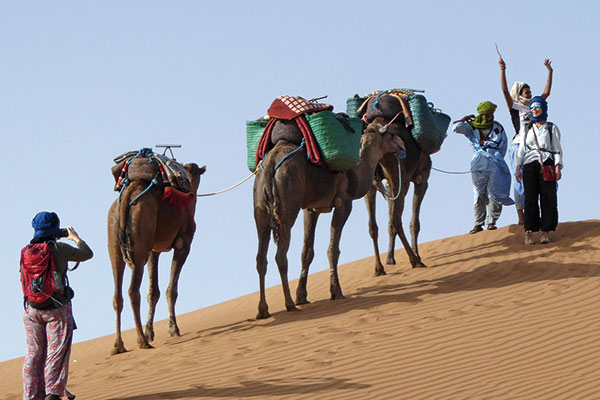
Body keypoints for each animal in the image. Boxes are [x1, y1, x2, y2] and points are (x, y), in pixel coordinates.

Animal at [106, 155, 204, 354]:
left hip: (114, 241)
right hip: (139, 242)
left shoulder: (154, 250)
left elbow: (153, 292)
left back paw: (119, 345)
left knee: (117, 294)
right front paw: (173, 329)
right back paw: (142, 341)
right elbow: (171, 289)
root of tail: (127, 195)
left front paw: (150, 331)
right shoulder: (184, 244)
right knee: (132, 291)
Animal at [253, 116, 404, 318]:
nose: (402, 143)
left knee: (261, 258)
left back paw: (263, 310)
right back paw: (289, 304)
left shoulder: (311, 209)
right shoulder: (343, 202)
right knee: (280, 256)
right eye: (390, 133)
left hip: (261, 209)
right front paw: (336, 291)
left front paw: (302, 296)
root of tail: (270, 166)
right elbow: (333, 249)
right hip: (286, 208)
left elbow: (307, 252)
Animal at [358, 94, 434, 276]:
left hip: (379, 183)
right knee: (396, 221)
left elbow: (384, 223)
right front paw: (415, 255)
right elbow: (413, 222)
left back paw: (379, 268)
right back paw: (415, 260)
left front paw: (389, 260)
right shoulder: (421, 178)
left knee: (375, 225)